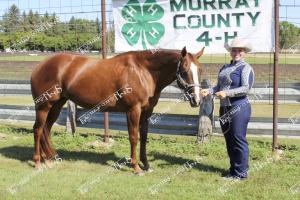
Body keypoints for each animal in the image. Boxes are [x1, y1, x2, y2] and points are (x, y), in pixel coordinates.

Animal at [30, 46, 204, 174]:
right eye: (184, 70)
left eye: (199, 70)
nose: (196, 100)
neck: (143, 71)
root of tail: (39, 67)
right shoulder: (133, 110)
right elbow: (134, 137)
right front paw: (136, 167)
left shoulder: (147, 112)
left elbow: (144, 137)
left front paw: (146, 165)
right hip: (43, 106)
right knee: (38, 129)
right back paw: (38, 162)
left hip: (57, 105)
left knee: (46, 128)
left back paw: (50, 159)